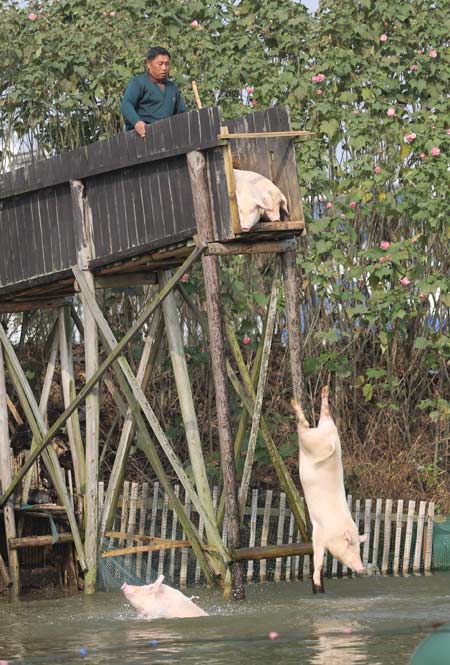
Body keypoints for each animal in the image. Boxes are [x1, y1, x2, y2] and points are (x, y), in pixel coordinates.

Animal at [292, 387, 366, 589]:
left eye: (359, 548)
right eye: (351, 546)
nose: (363, 569)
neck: (337, 530)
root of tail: (328, 437)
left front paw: (317, 583)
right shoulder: (320, 531)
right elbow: (317, 554)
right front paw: (317, 582)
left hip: (326, 429)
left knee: (322, 415)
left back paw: (322, 393)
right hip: (311, 441)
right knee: (304, 427)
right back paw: (296, 404)